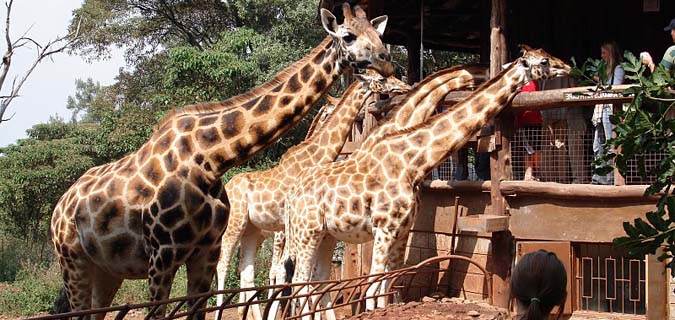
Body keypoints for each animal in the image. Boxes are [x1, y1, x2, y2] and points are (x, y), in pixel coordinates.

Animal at [214, 70, 410, 320]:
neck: (314, 157)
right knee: (223, 265)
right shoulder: (288, 226)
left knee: (246, 271)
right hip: (235, 225)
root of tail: (228, 188)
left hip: (252, 230)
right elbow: (286, 271)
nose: (405, 87)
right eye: (382, 79)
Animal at [282, 46, 572, 316]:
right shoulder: (384, 228)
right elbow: (373, 286)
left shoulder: (401, 230)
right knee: (298, 283)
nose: (568, 67)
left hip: (326, 235)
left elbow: (388, 285)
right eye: (544, 61)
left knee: (314, 282)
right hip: (306, 232)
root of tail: (293, 195)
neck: (413, 163)